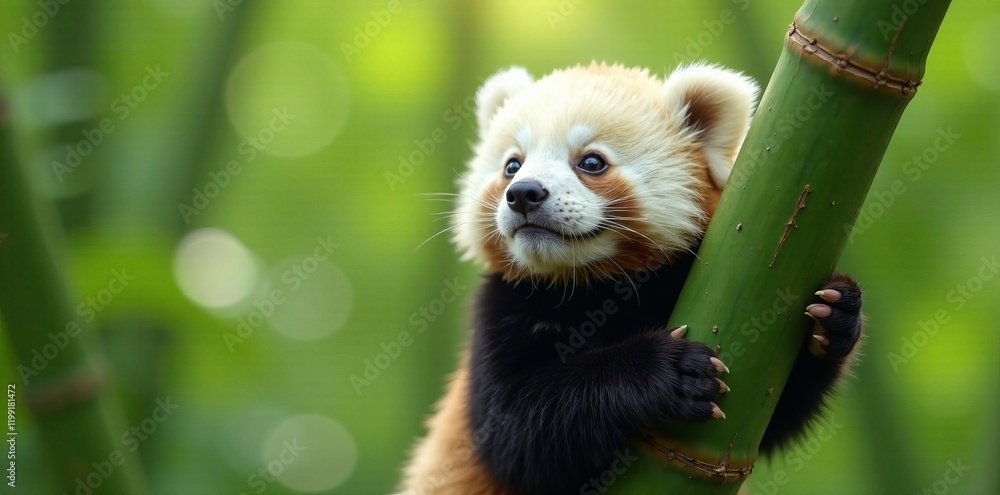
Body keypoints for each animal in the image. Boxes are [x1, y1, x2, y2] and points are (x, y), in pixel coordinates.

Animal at [400, 62, 864, 495]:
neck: (591, 287)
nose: (524, 194)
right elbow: (515, 435)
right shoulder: (502, 308)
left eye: (591, 162)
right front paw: (667, 371)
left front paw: (837, 317)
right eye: (512, 165)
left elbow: (769, 416)